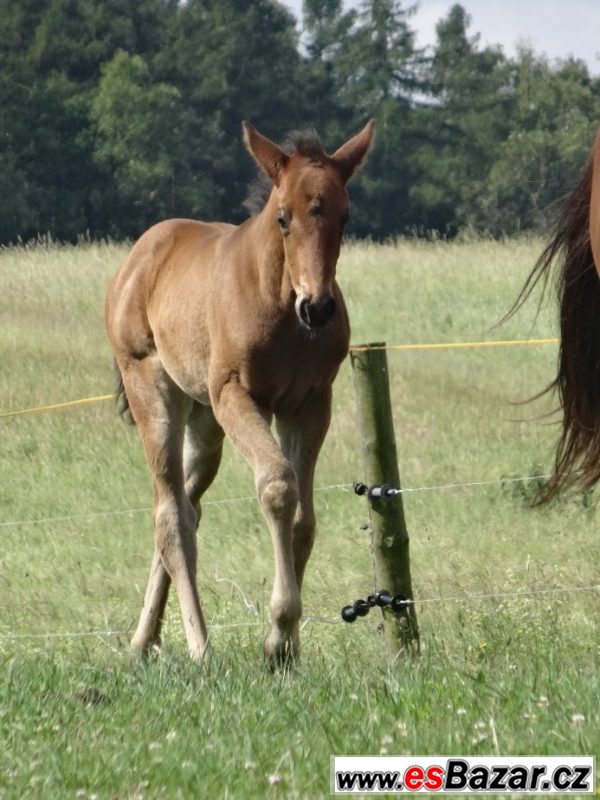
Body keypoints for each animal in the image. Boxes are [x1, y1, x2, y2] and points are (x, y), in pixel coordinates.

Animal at [105, 119, 372, 664]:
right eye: (284, 218)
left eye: (346, 216)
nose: (318, 307)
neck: (281, 306)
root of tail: (137, 259)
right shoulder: (237, 396)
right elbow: (277, 486)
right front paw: (279, 631)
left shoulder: (311, 403)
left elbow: (304, 518)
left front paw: (286, 648)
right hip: (154, 392)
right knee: (170, 515)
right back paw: (199, 647)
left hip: (204, 423)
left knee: (188, 507)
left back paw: (143, 642)